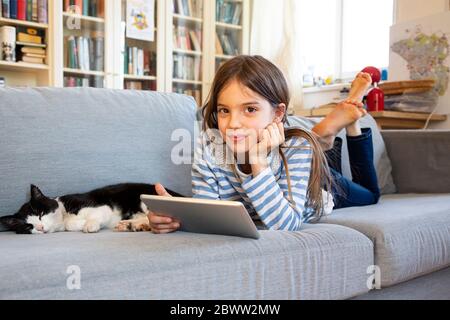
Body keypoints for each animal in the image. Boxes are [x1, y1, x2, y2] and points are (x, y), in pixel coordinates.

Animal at [0, 182, 183, 235]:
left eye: (40, 213)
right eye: (28, 226)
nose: (40, 227)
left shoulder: (101, 205)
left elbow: (97, 215)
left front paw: (89, 225)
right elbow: (69, 225)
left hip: (145, 197)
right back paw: (132, 225)